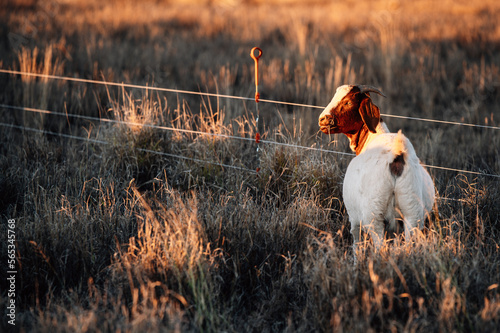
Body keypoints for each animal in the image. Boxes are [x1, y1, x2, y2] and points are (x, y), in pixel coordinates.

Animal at [320, 83, 434, 252]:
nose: (322, 119)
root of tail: (397, 155)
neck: (373, 136)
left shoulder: (355, 218)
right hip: (412, 212)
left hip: (374, 216)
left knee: (380, 246)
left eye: (348, 102)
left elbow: (356, 244)